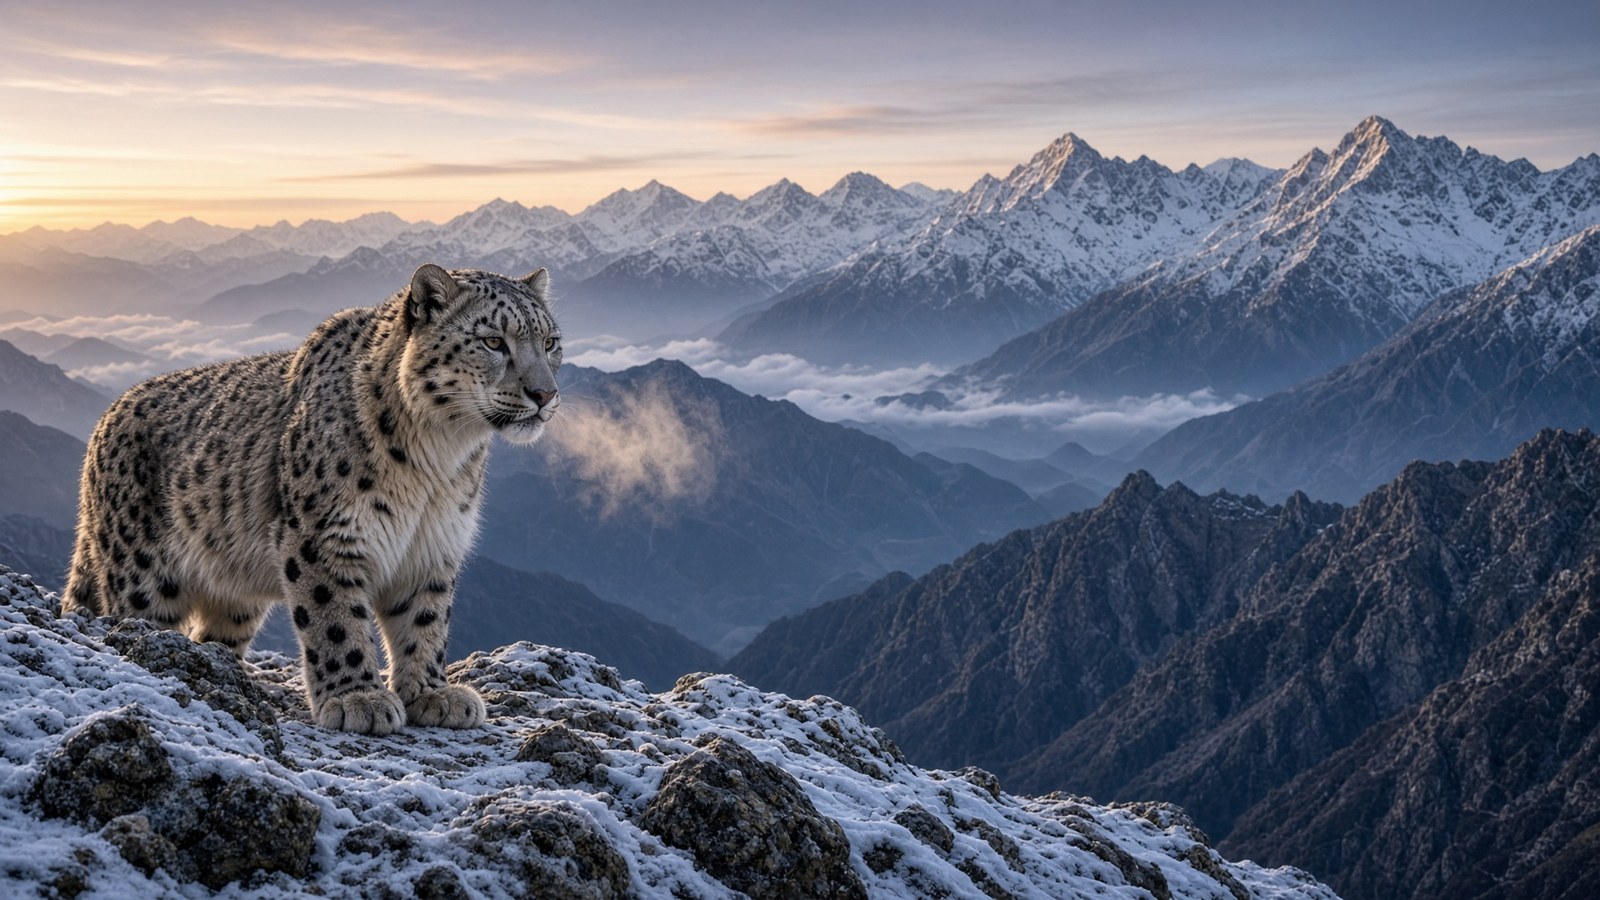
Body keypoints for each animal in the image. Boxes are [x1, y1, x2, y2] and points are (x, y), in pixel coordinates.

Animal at [63, 264, 561, 735]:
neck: (439, 458)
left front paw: (431, 693)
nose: (545, 394)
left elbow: (426, 620)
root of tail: (103, 423)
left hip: (234, 596)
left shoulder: (433, 545)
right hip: (142, 579)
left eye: (551, 342)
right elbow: (335, 618)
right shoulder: (324, 537)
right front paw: (357, 698)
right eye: (493, 341)